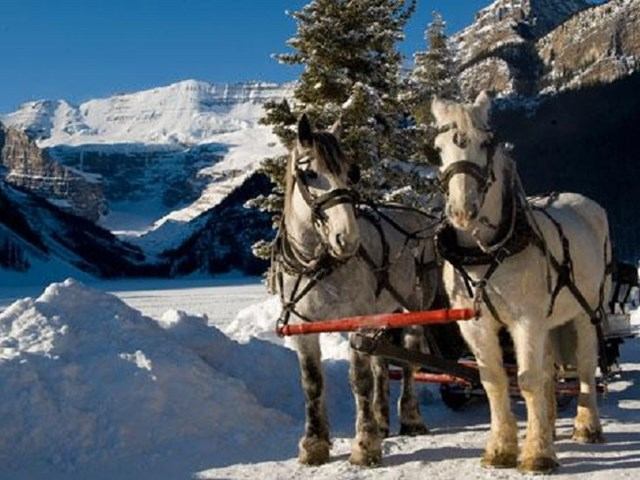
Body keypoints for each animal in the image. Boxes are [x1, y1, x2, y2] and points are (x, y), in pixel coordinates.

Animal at [272, 114, 440, 466]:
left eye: (351, 172)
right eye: (310, 173)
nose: (347, 239)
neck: (316, 264)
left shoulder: (356, 322)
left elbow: (359, 380)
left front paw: (365, 445)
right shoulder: (303, 328)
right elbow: (312, 383)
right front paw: (314, 444)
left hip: (413, 306)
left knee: (408, 361)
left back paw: (410, 419)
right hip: (383, 312)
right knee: (381, 363)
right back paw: (382, 420)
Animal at [430, 92, 611, 474]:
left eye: (486, 143)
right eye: (438, 149)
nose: (462, 211)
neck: (485, 253)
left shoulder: (526, 320)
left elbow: (526, 380)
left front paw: (536, 455)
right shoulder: (477, 325)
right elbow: (495, 381)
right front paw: (502, 448)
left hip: (586, 312)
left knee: (585, 367)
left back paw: (586, 426)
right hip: (550, 320)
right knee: (549, 373)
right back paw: (548, 428)